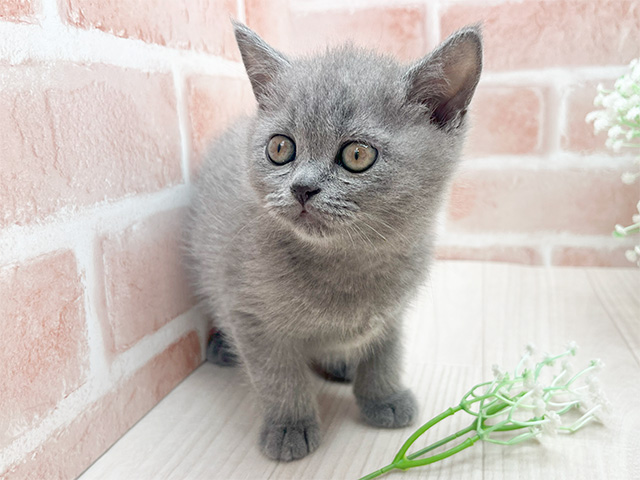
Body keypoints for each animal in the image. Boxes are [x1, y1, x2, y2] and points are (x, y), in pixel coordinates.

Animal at [188, 21, 482, 462]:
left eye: (357, 155)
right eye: (280, 148)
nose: (302, 188)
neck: (351, 262)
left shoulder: (392, 313)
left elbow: (386, 354)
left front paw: (384, 397)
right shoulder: (249, 313)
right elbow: (278, 376)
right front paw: (290, 426)